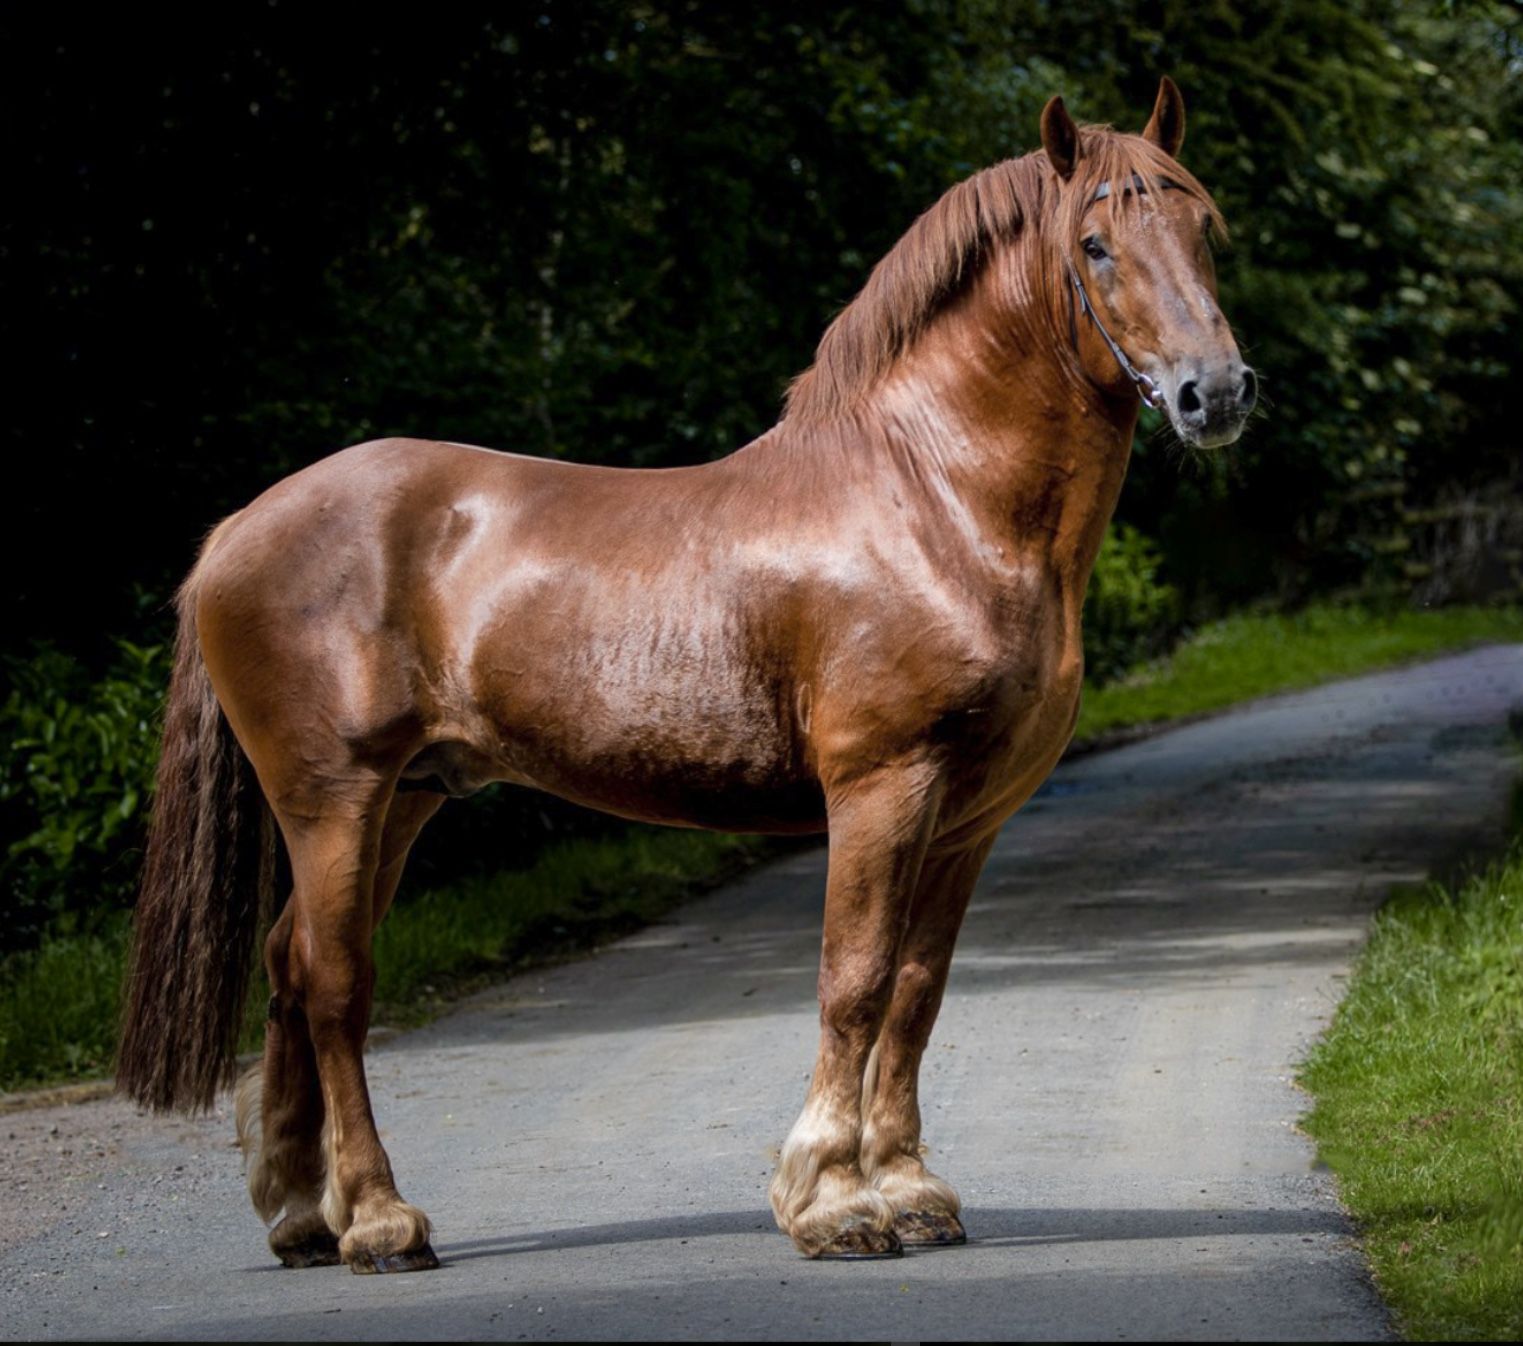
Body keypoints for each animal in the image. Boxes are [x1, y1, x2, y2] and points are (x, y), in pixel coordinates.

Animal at [116, 78, 1255, 1270]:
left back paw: (302, 1214)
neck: (932, 498)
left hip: (403, 799)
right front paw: (833, 1201)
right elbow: (853, 982)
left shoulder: (969, 817)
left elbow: (916, 989)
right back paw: (382, 1221)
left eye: (1201, 228)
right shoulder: (881, 787)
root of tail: (236, 530)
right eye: (1093, 244)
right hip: (334, 797)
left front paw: (910, 1190)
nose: (1212, 392)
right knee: (336, 984)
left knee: (291, 968)